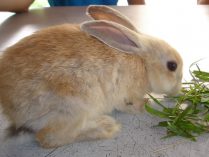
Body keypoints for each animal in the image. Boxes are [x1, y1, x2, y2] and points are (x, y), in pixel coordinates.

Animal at [0, 5, 183, 148]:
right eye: (172, 66)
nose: (178, 90)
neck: (143, 63)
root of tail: (11, 110)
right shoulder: (126, 95)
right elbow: (130, 105)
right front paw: (146, 104)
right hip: (74, 106)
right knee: (48, 138)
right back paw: (105, 127)